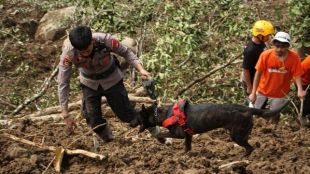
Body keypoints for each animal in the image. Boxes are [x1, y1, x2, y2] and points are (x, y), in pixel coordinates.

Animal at [137, 100, 286, 156]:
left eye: (139, 116)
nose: (132, 122)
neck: (160, 114)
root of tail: (248, 109)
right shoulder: (188, 135)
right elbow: (187, 146)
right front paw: (185, 156)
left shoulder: (179, 134)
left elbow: (161, 133)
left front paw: (162, 139)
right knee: (249, 146)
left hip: (237, 135)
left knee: (250, 148)